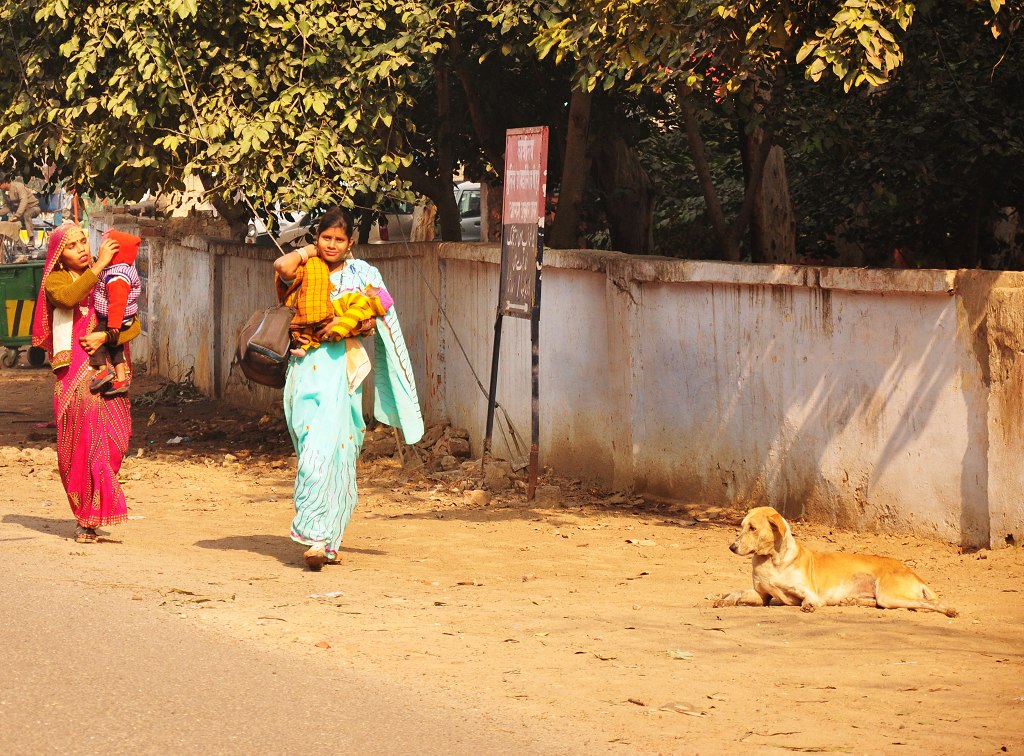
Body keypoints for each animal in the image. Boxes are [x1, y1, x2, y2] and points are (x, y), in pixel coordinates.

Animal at [716, 504, 954, 614]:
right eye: (741, 527)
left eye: (753, 528)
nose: (731, 547)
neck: (772, 561)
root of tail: (913, 573)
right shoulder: (762, 595)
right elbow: (739, 592)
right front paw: (726, 599)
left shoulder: (809, 592)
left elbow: (809, 599)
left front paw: (809, 606)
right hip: (882, 597)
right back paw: (851, 601)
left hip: (890, 595)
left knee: (928, 603)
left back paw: (949, 609)